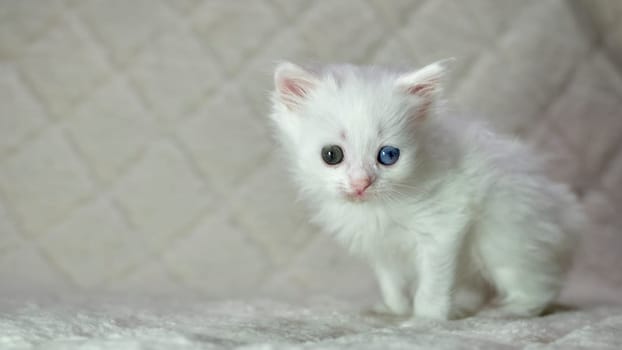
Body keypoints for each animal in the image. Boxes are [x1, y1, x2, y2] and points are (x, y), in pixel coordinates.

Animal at [268, 60, 584, 320]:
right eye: (331, 155)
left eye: (388, 155)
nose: (361, 183)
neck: (376, 207)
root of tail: (566, 213)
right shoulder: (382, 247)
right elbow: (391, 283)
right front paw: (395, 310)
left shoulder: (442, 229)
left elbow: (432, 284)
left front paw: (426, 320)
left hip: (504, 238)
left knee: (538, 285)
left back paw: (509, 312)